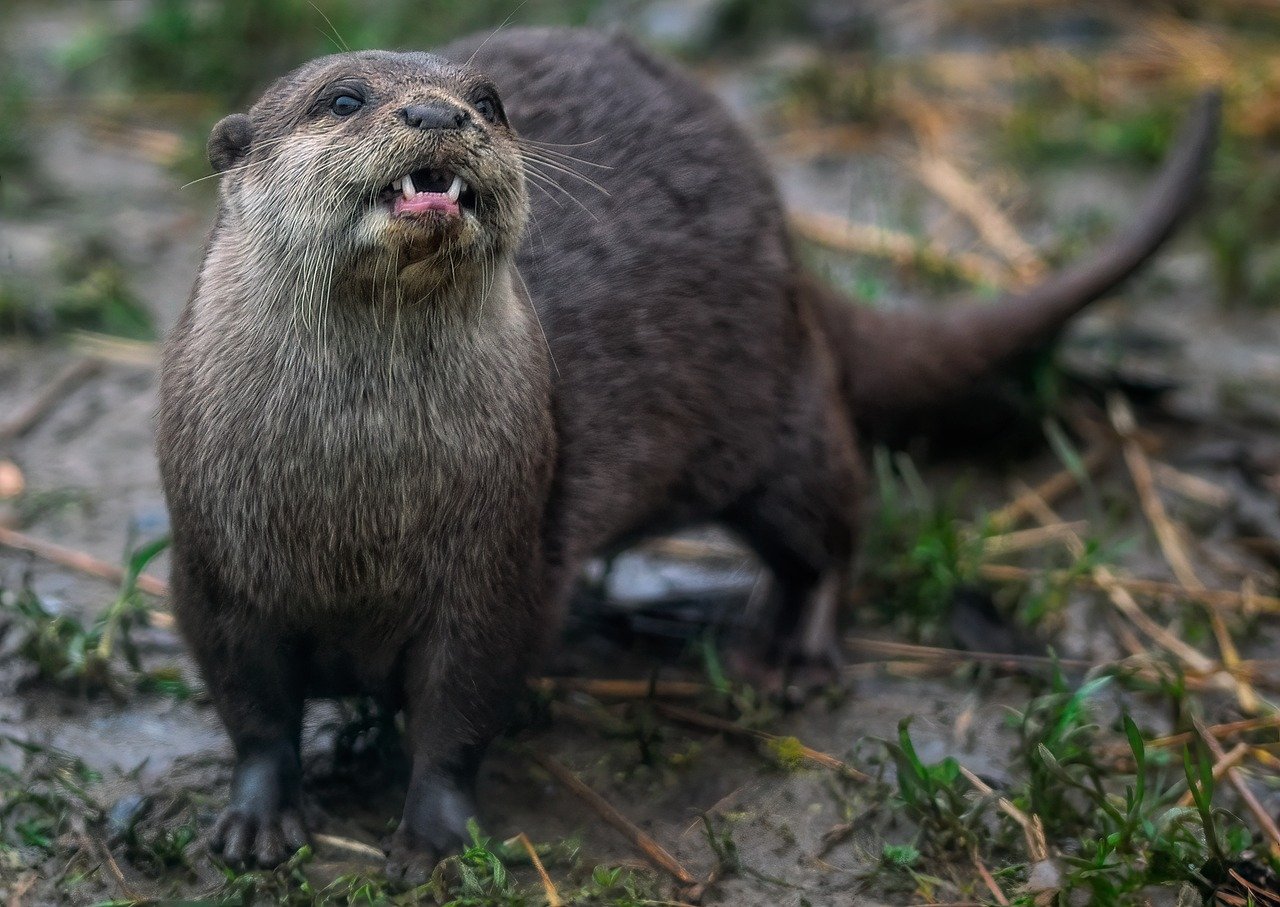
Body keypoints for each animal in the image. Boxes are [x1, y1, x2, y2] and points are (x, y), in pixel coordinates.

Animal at [157, 28, 1218, 875]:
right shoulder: (212, 566)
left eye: (489, 101)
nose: (439, 110)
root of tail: (792, 246)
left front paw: (434, 832)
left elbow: (460, 706)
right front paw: (257, 819)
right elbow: (251, 706)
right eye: (342, 98)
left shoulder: (501, 560)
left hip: (776, 413)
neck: (355, 505)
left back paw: (791, 652)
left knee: (834, 522)